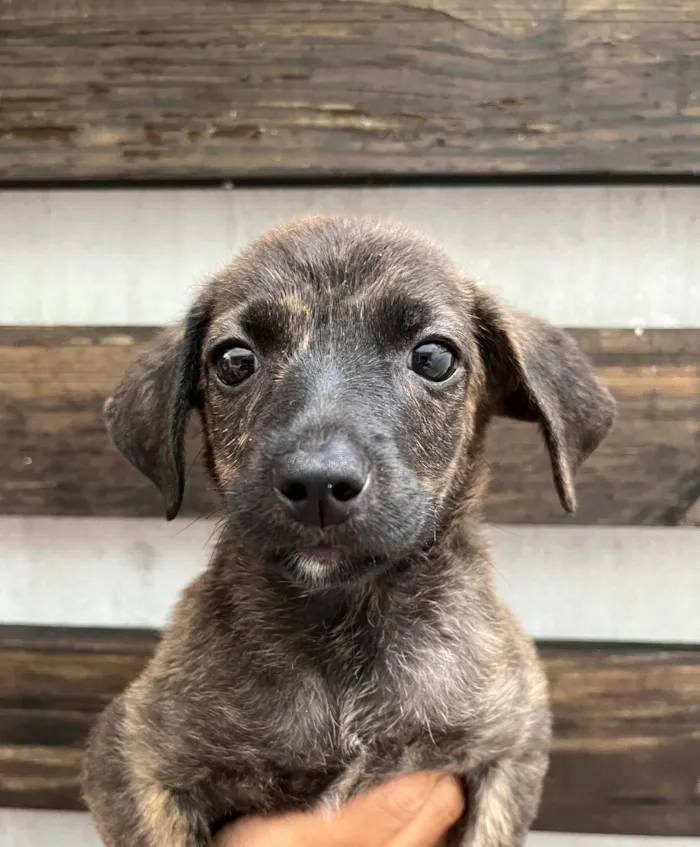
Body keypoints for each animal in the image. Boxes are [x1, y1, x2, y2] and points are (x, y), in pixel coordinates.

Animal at [85, 215, 616, 844]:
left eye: (433, 358)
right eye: (234, 361)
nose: (318, 484)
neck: (347, 622)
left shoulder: (511, 746)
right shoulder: (132, 759)